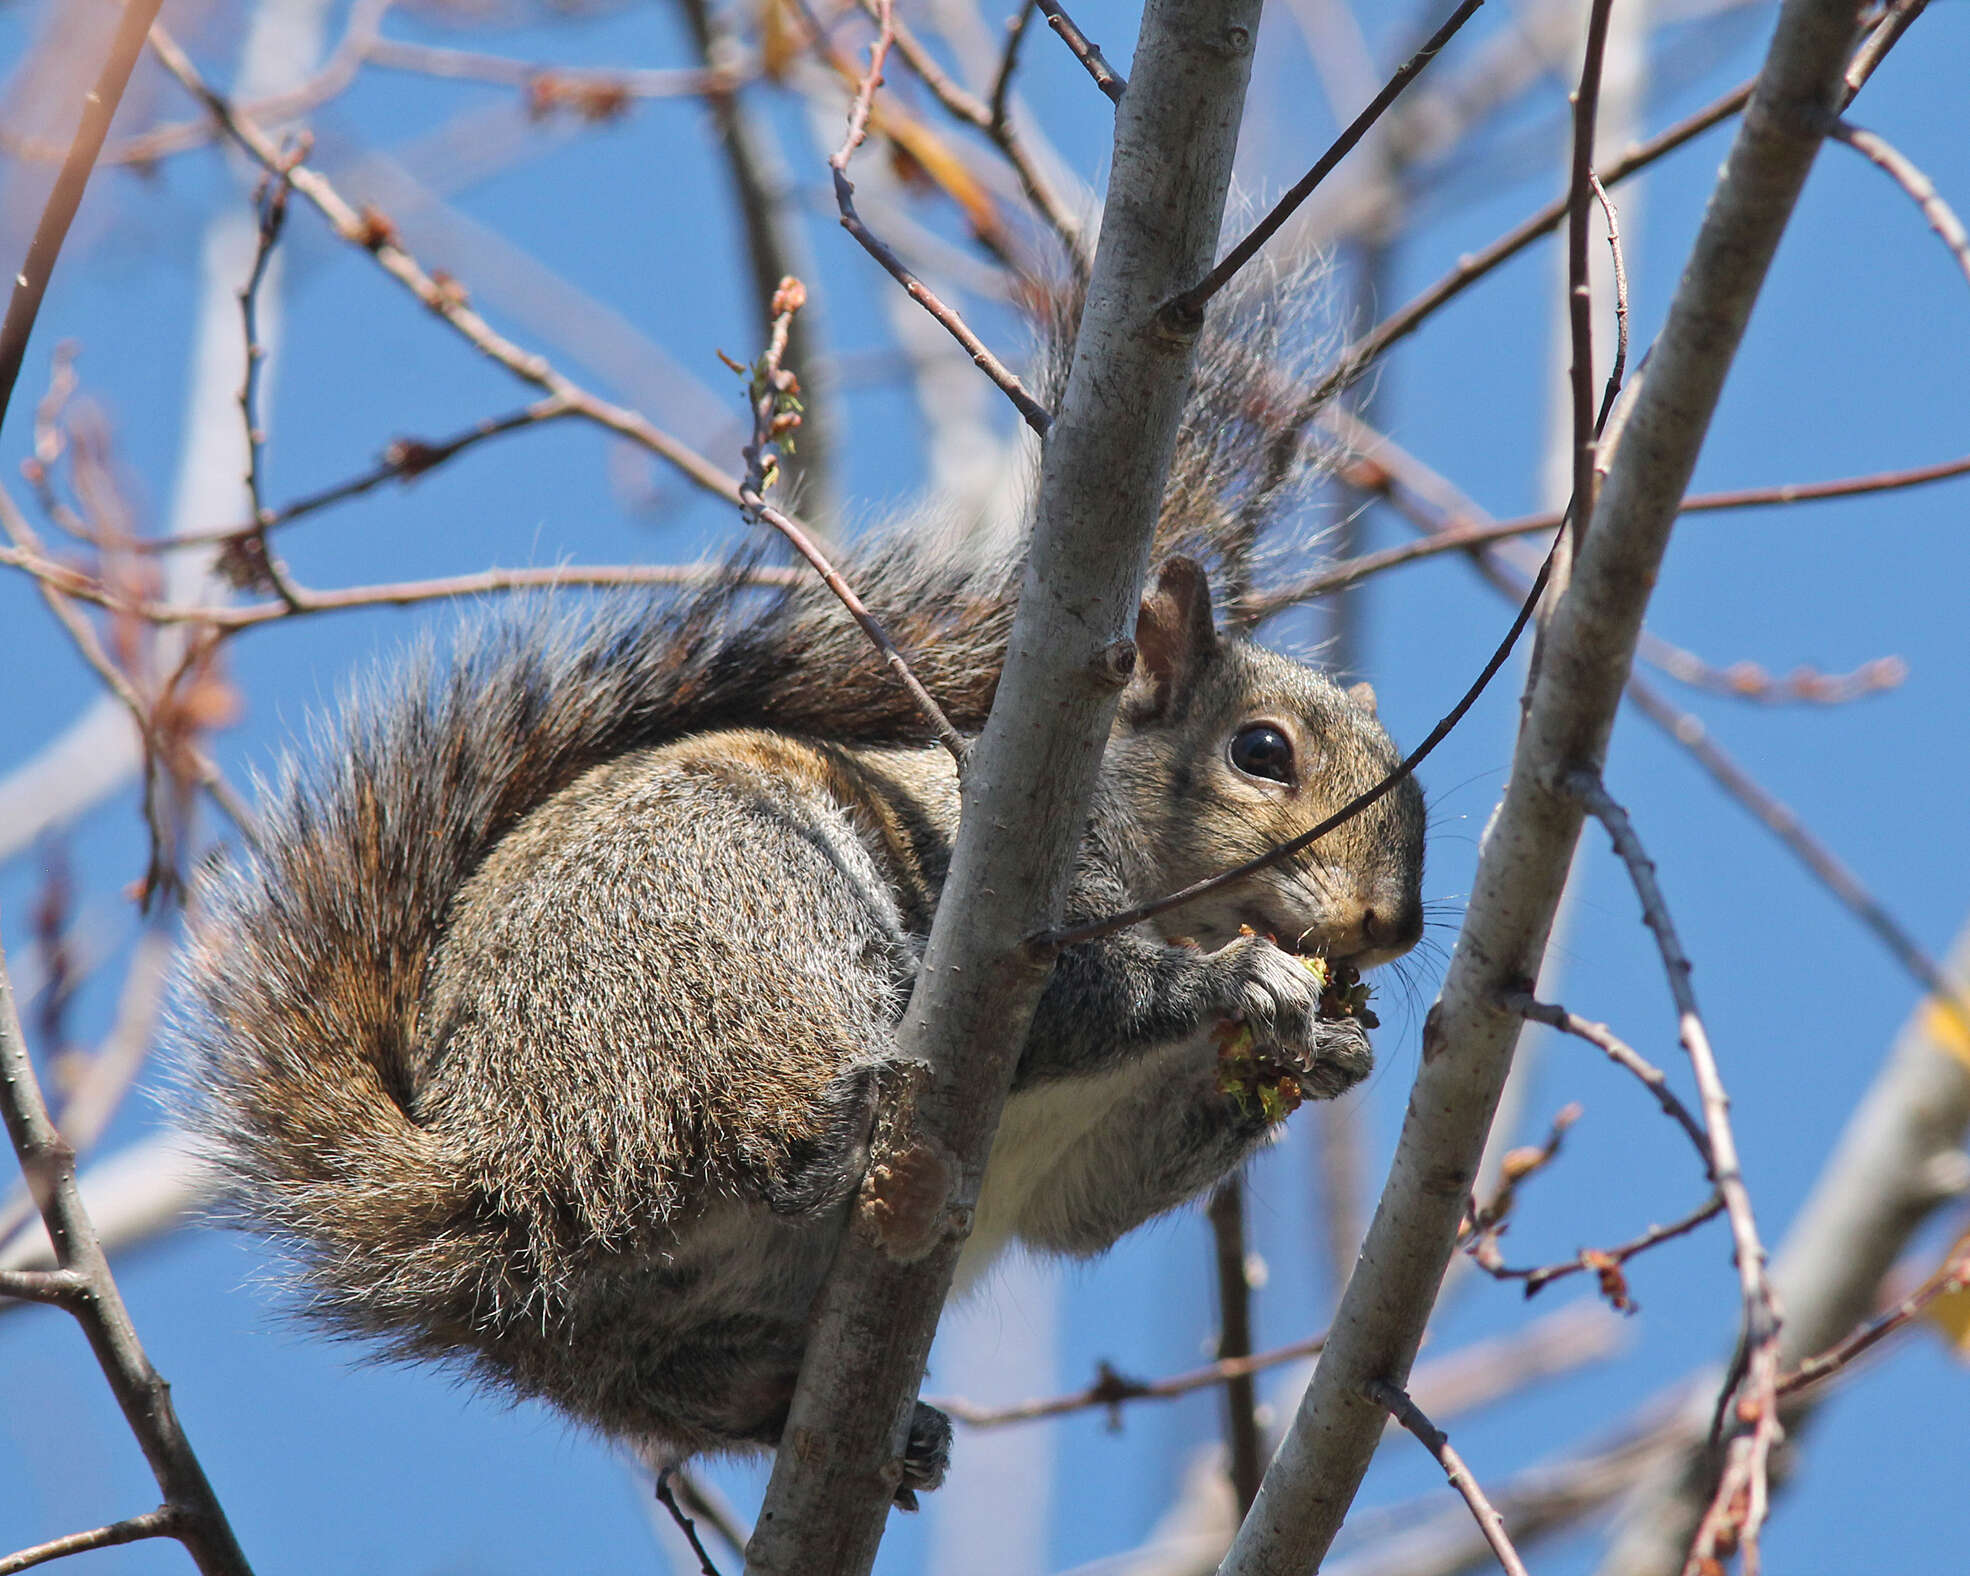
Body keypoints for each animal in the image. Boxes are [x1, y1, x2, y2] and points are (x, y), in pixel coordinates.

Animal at [177, 279, 1426, 1505]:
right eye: (1259, 752)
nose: (1391, 923)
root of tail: (493, 1166)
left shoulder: (1086, 1158)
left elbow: (1090, 1206)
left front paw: (1334, 1053)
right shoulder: (996, 911)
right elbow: (1078, 1004)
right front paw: (1238, 978)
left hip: (631, 1322)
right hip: (736, 935)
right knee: (754, 1115)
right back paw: (828, 1133)